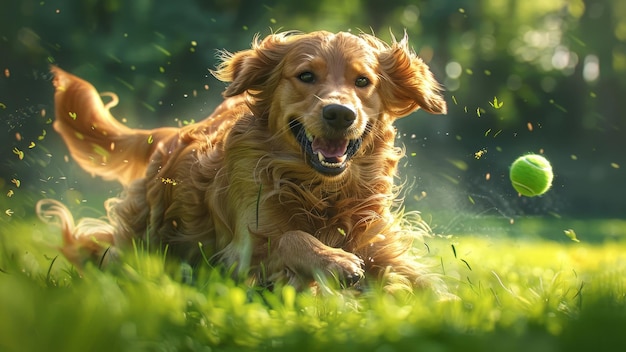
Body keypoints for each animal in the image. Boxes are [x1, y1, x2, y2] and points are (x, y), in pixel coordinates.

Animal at [37, 30, 444, 290]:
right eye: (305, 76)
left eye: (363, 81)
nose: (340, 113)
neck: (319, 189)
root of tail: (168, 135)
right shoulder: (244, 243)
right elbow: (290, 237)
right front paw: (335, 260)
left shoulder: (380, 244)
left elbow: (422, 282)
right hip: (144, 235)